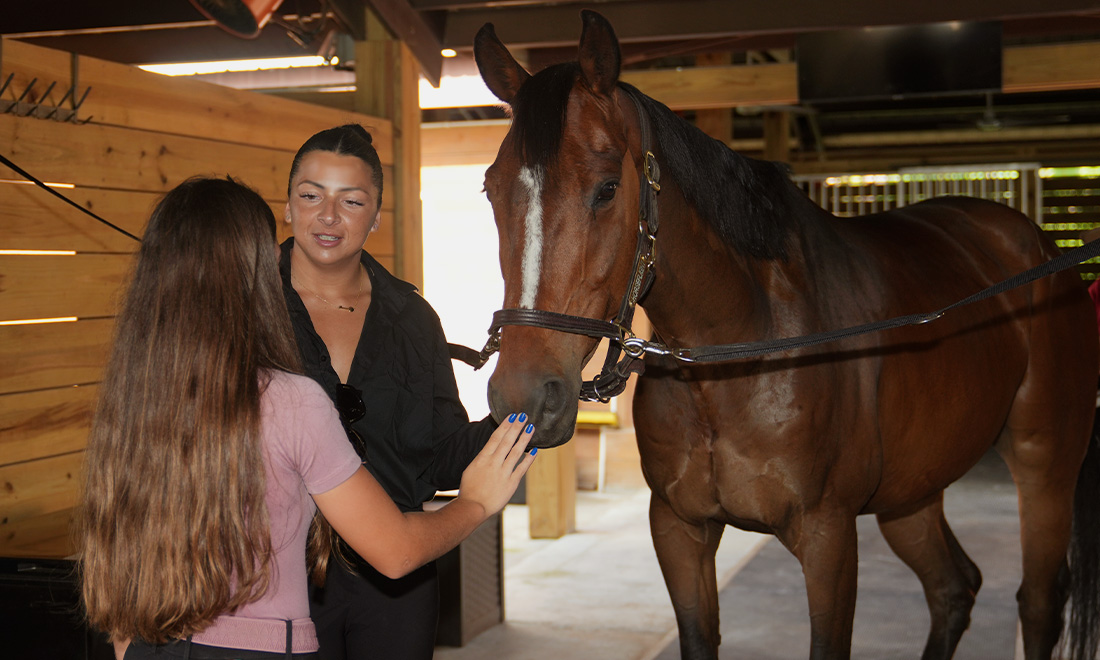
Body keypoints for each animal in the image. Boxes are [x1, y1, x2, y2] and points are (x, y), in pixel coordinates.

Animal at [472, 10, 1100, 660]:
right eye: (492, 188)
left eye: (606, 188)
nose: (523, 397)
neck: (738, 356)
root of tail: (1037, 246)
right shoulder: (679, 529)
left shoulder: (828, 537)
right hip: (912, 495)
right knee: (954, 586)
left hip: (1046, 464)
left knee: (1038, 602)